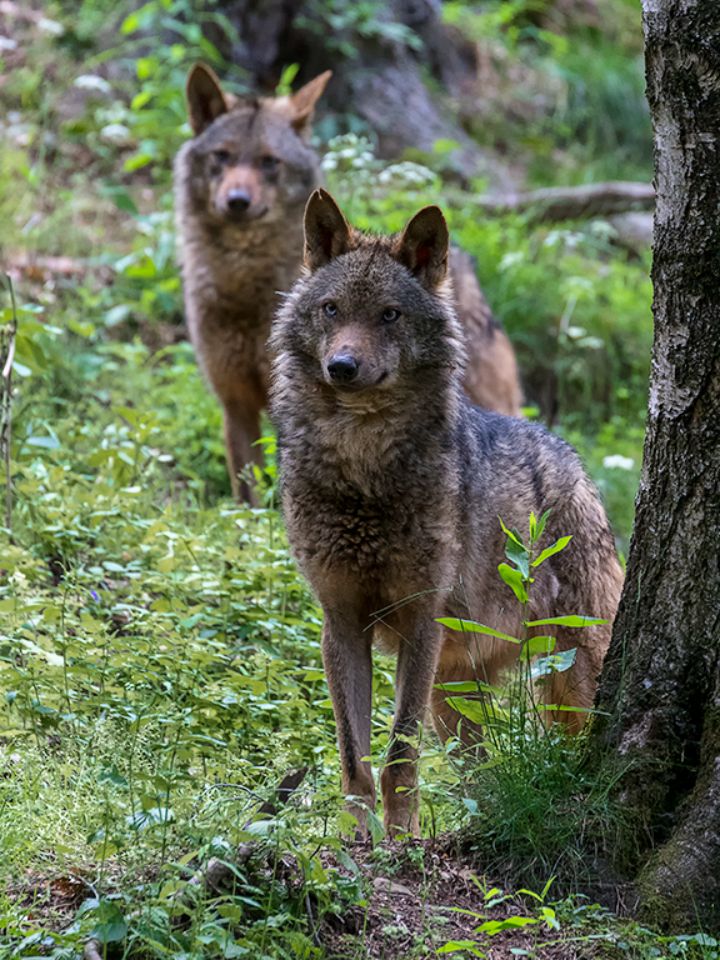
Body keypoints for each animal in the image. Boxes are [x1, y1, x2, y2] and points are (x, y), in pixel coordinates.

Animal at [175, 65, 521, 501]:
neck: (245, 287)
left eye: (270, 162)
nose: (237, 201)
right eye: (222, 156)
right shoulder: (234, 402)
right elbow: (247, 496)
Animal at [270, 190, 623, 838]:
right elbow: (354, 756)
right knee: (480, 774)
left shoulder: (420, 619)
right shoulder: (341, 622)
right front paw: (358, 839)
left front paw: (401, 840)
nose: (343, 367)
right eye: (332, 309)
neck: (363, 467)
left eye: (389, 315)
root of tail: (571, 459)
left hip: (568, 671)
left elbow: (398, 753)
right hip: (455, 699)